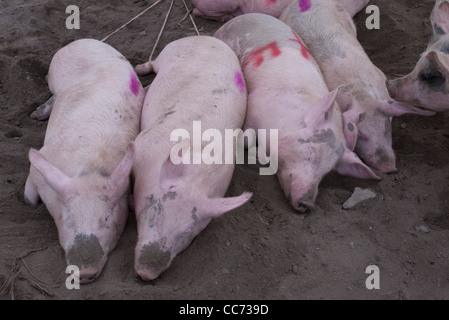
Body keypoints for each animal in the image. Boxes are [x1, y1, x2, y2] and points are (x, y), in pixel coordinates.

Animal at [23, 39, 144, 282]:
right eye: (69, 217)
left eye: (106, 218)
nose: (85, 271)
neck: (91, 170)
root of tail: (85, 41)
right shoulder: (41, 164)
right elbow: (29, 198)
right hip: (55, 73)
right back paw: (35, 114)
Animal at [131, 35, 250, 280]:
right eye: (155, 209)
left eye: (189, 233)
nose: (146, 273)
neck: (199, 175)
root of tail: (206, 37)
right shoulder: (143, 144)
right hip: (170, 51)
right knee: (153, 62)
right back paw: (139, 68)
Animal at [214, 15, 378, 214]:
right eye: (310, 153)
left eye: (327, 171)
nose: (308, 204)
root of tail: (244, 16)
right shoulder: (255, 106)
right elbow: (246, 138)